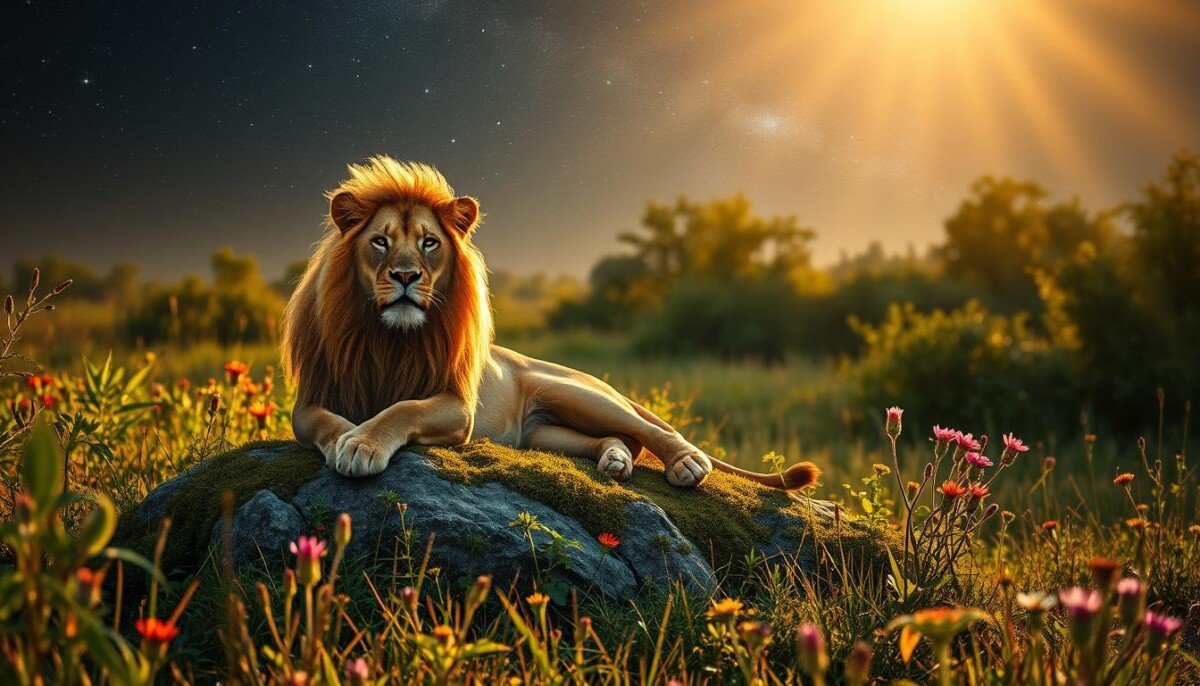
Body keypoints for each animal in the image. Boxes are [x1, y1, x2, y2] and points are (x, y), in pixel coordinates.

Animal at [282, 155, 819, 491]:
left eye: (429, 243)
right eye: (380, 241)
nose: (406, 276)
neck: (385, 336)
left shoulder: (457, 405)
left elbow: (401, 409)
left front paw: (363, 441)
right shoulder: (310, 399)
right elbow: (324, 420)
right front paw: (348, 439)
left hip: (574, 393)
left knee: (647, 430)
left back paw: (686, 462)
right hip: (544, 435)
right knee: (619, 439)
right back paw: (615, 460)